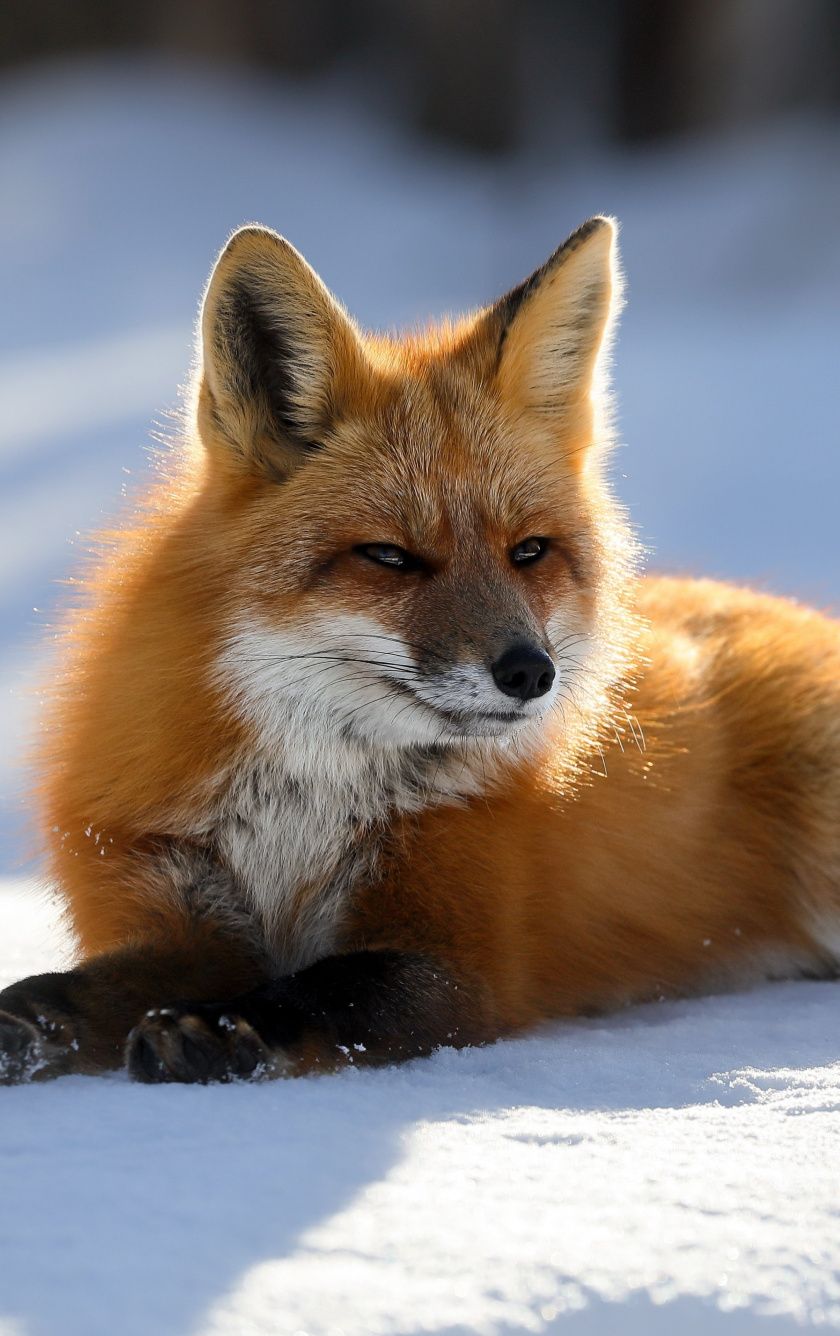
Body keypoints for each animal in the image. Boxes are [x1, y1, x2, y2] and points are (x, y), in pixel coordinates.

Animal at [2, 215, 839, 1086]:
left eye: (529, 552)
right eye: (390, 557)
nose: (529, 673)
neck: (295, 819)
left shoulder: (454, 954)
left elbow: (321, 990)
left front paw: (221, 1025)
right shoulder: (175, 913)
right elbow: (64, 994)